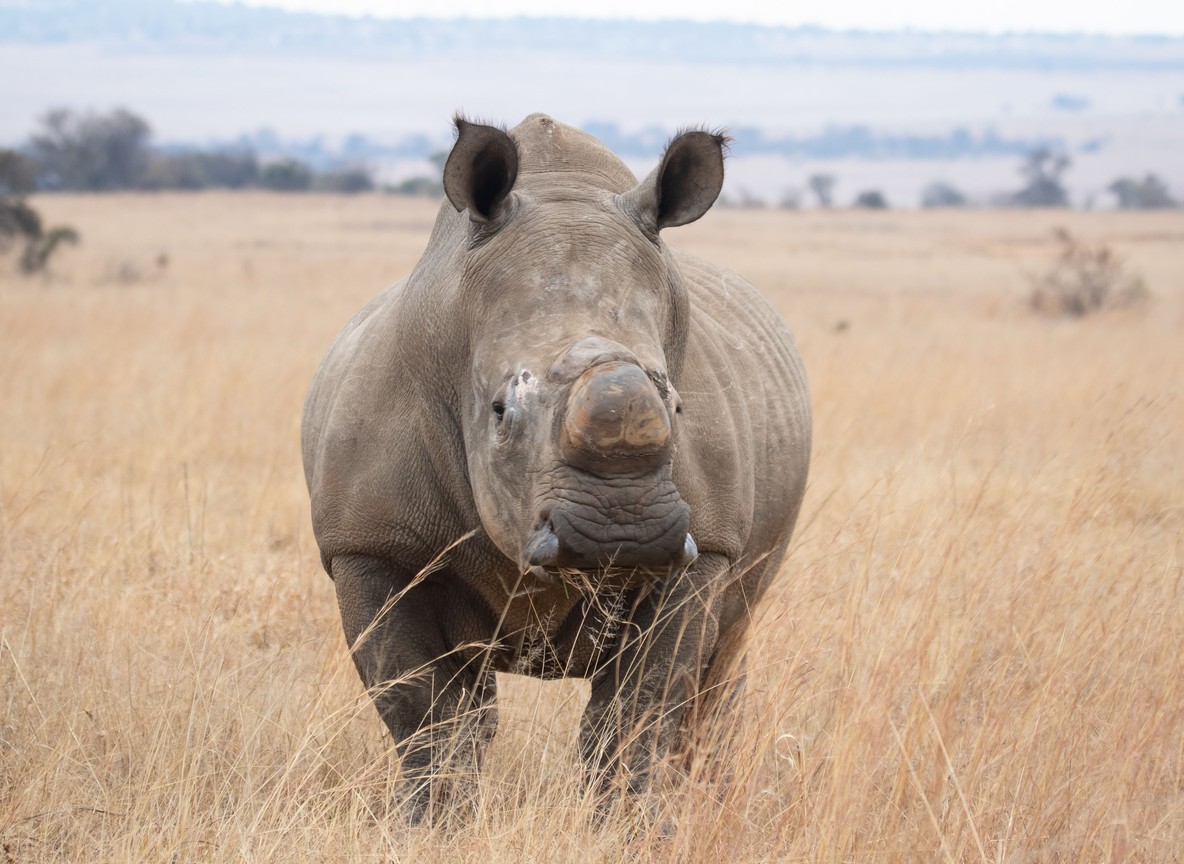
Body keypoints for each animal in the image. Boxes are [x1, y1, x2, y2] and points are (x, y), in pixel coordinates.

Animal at [301, 113, 810, 821]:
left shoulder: (705, 546)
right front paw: (429, 828)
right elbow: (425, 713)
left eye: (679, 405)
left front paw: (630, 830)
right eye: (499, 411)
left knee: (718, 660)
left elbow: (640, 710)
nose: (621, 533)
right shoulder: (369, 544)